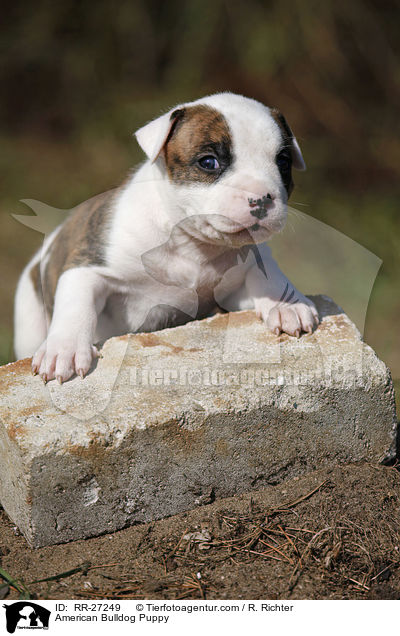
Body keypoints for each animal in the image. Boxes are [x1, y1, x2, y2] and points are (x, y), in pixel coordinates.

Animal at [14, 92, 318, 382]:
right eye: (209, 162)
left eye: (283, 162)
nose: (262, 198)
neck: (190, 244)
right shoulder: (88, 265)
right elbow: (76, 305)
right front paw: (63, 349)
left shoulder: (229, 293)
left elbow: (264, 272)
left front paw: (286, 303)